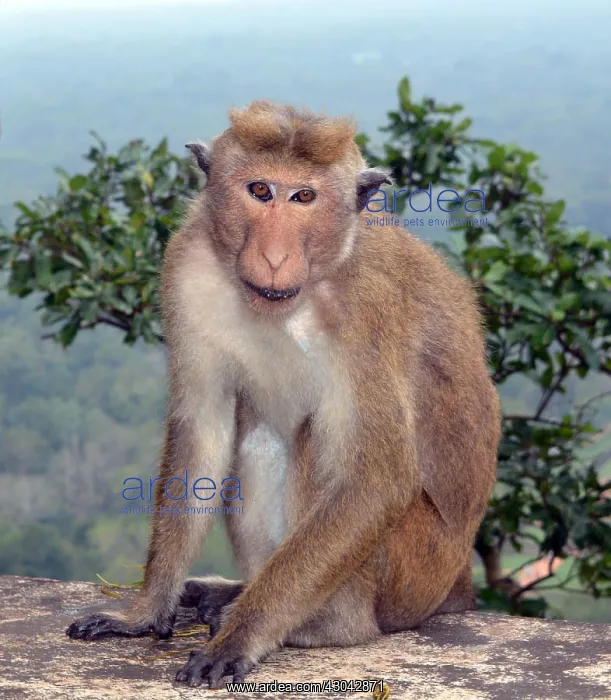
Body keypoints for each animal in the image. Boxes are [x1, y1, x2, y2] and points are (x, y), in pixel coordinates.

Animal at [67, 100, 501, 689]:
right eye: (260, 191)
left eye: (304, 198)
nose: (274, 255)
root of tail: (457, 584)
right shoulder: (185, 266)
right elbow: (202, 429)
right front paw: (143, 614)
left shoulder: (367, 307)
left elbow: (376, 479)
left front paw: (241, 637)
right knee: (258, 438)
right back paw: (233, 592)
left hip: (416, 568)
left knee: (319, 441)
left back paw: (320, 625)